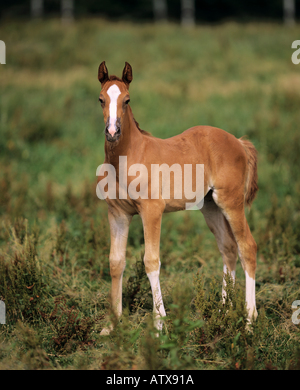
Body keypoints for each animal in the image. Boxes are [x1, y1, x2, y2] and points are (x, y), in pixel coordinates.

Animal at [96, 61, 258, 336]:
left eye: (127, 100)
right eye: (100, 99)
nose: (112, 132)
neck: (129, 156)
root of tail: (238, 141)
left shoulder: (152, 211)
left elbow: (151, 262)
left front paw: (159, 324)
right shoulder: (117, 214)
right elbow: (116, 262)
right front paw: (110, 325)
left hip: (231, 202)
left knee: (247, 247)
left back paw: (248, 321)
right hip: (210, 206)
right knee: (228, 248)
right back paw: (222, 313)